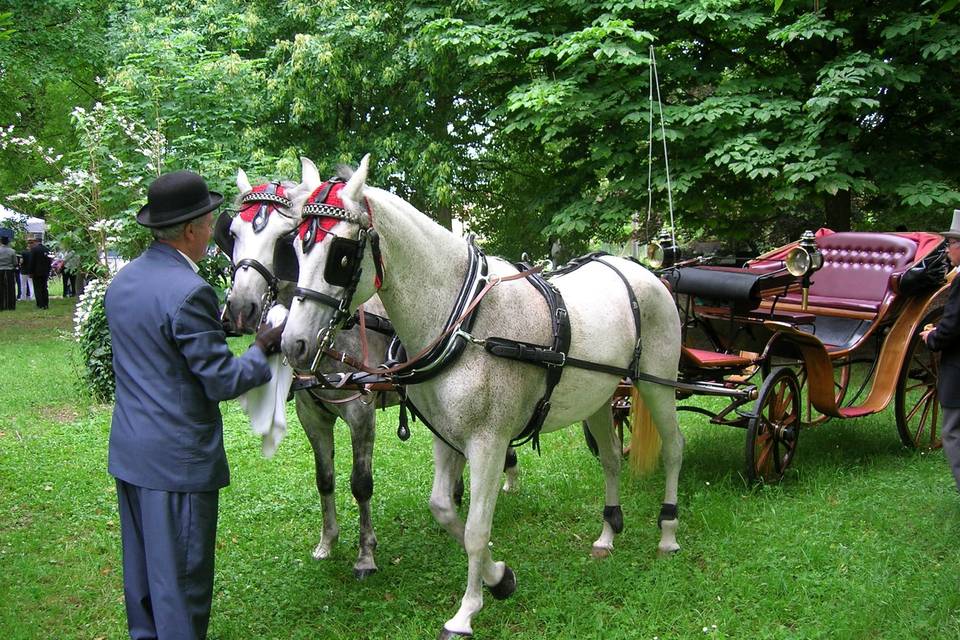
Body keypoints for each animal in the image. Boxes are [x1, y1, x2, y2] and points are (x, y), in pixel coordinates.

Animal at [282, 156, 688, 640]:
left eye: (340, 255)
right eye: (295, 248)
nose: (293, 344)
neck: (462, 320)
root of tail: (644, 271)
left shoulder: (488, 443)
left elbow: (476, 529)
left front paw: (467, 610)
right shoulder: (446, 436)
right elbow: (443, 508)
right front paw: (500, 578)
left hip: (657, 385)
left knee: (674, 449)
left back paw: (668, 532)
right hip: (599, 396)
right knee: (610, 458)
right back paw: (608, 533)